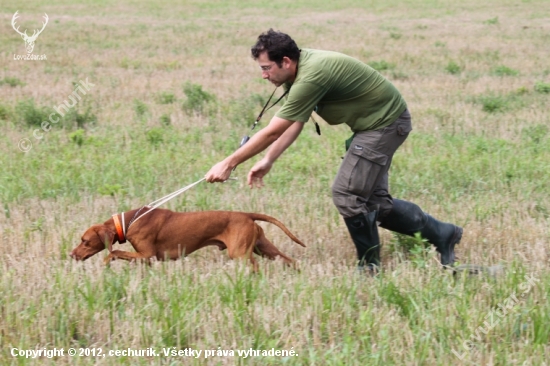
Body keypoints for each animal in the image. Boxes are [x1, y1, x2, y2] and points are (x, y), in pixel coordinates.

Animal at [70, 207, 306, 270]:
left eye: (84, 240)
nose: (71, 255)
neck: (129, 221)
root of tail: (246, 214)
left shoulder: (147, 254)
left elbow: (116, 252)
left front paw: (106, 262)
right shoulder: (145, 259)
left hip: (240, 253)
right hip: (264, 247)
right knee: (291, 261)